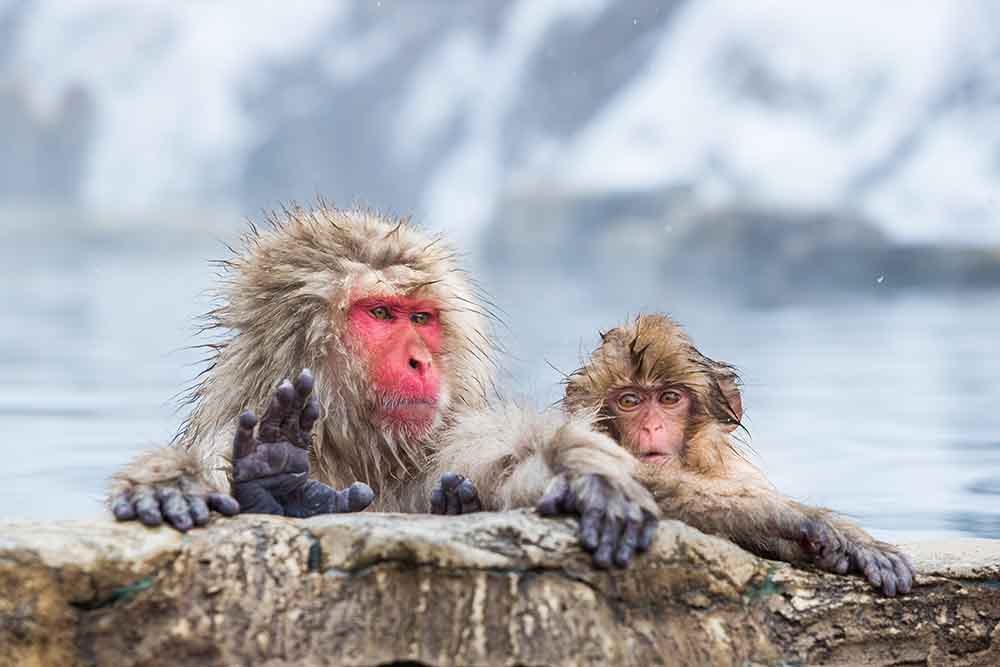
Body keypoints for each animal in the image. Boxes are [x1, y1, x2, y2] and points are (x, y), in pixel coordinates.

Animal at [109, 207, 660, 568]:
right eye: (380, 313)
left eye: (421, 318)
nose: (420, 361)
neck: (354, 449)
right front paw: (182, 483)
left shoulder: (439, 448)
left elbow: (505, 458)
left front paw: (582, 474)